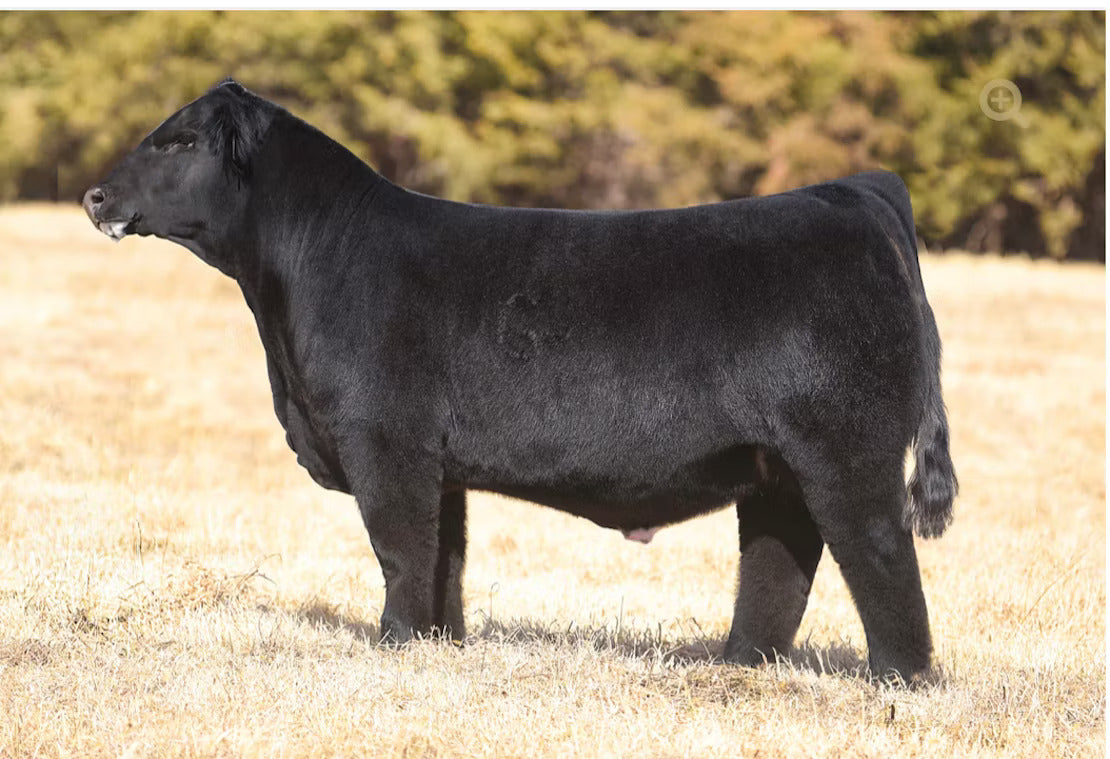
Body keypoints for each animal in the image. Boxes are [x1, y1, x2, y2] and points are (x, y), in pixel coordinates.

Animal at [83, 79, 957, 682]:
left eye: (178, 143)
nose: (95, 194)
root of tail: (852, 191)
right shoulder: (436, 462)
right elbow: (445, 554)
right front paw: (437, 642)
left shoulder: (383, 441)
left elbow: (399, 547)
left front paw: (393, 641)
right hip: (775, 465)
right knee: (779, 564)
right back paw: (738, 662)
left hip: (846, 452)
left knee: (881, 555)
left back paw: (899, 679)